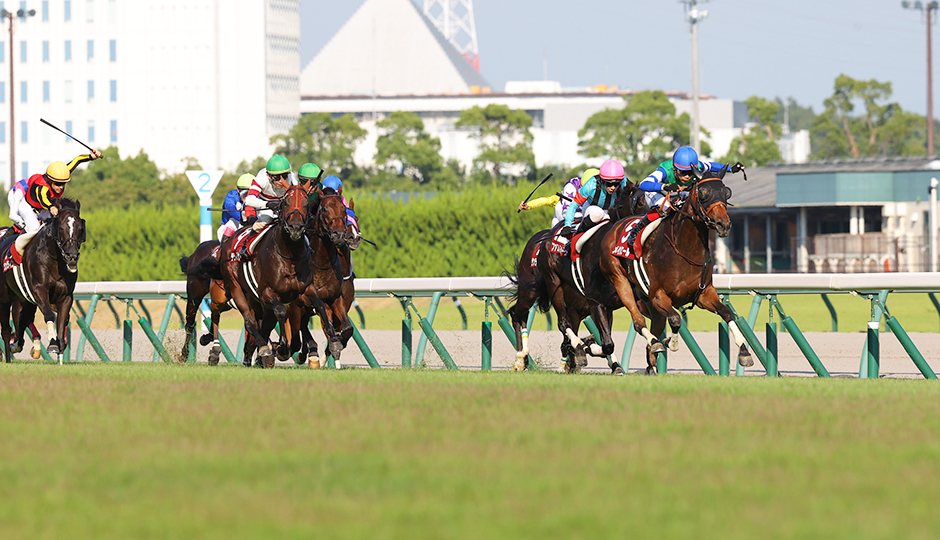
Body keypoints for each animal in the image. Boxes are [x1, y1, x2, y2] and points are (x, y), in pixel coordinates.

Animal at [0, 198, 85, 362]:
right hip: (5, 299)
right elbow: (49, 315)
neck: (54, 260)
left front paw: (60, 346)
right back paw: (8, 355)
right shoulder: (39, 290)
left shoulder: (65, 296)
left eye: (80, 228)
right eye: (61, 227)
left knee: (22, 320)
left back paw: (18, 344)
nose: (71, 257)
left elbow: (62, 320)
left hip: (24, 299)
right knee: (6, 330)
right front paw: (52, 342)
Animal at [604, 167, 756, 374]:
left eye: (727, 192)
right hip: (622, 283)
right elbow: (676, 319)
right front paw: (671, 342)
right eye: (703, 193)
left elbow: (726, 313)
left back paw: (652, 364)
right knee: (638, 322)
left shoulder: (703, 294)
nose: (723, 224)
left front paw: (744, 352)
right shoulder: (658, 296)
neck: (684, 249)